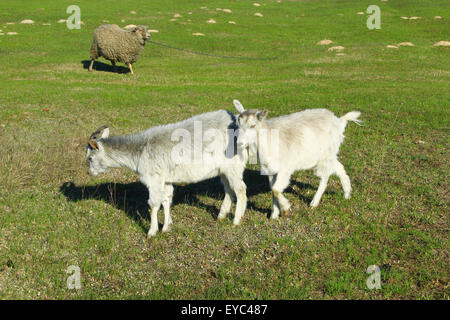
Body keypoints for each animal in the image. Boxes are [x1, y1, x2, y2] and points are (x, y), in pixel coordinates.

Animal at [86, 110, 248, 238]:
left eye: (90, 158)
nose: (89, 173)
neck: (139, 151)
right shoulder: (165, 179)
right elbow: (166, 200)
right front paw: (167, 226)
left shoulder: (154, 179)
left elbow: (153, 204)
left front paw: (152, 232)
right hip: (224, 170)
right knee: (229, 189)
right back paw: (221, 215)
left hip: (234, 165)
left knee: (240, 190)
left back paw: (236, 221)